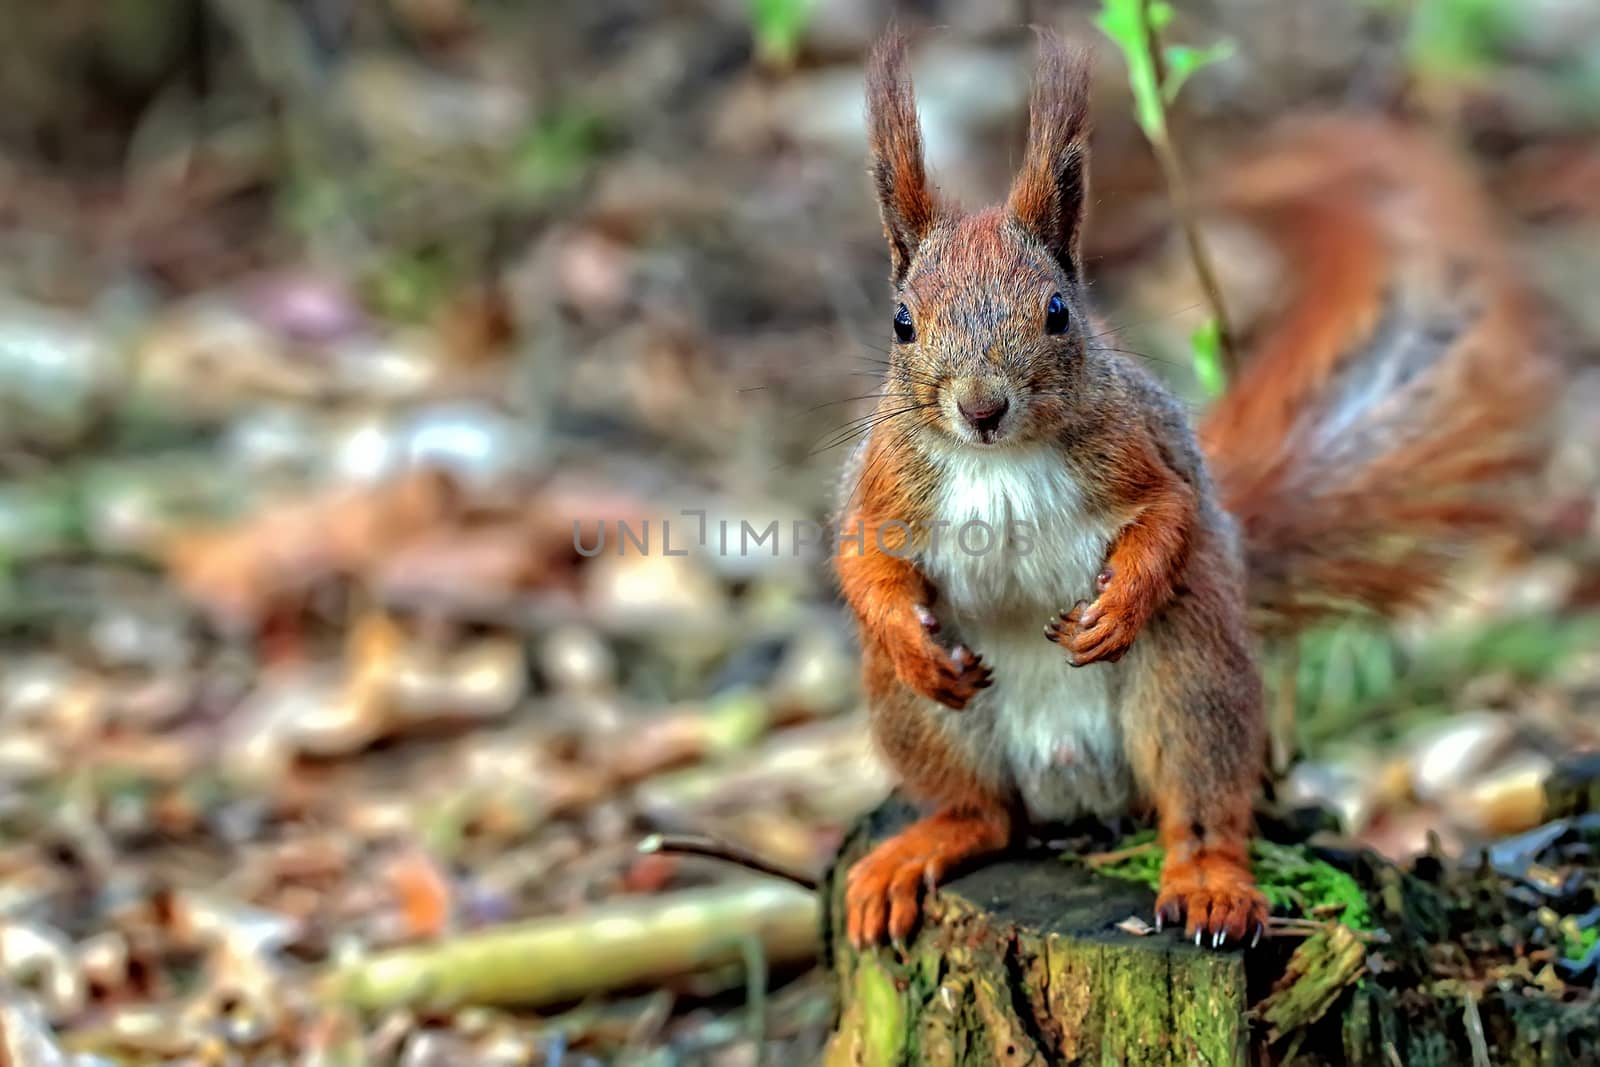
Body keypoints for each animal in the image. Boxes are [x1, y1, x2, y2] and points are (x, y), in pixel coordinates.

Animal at [838, 35, 1548, 953]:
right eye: (902, 322)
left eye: (1058, 311)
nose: (982, 407)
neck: (998, 461)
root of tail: (1074, 788)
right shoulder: (885, 484)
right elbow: (858, 555)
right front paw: (905, 632)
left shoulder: (1138, 455)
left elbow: (1169, 516)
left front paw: (1116, 606)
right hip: (921, 719)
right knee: (986, 815)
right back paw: (920, 845)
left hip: (1191, 675)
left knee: (1199, 802)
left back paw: (1208, 881)